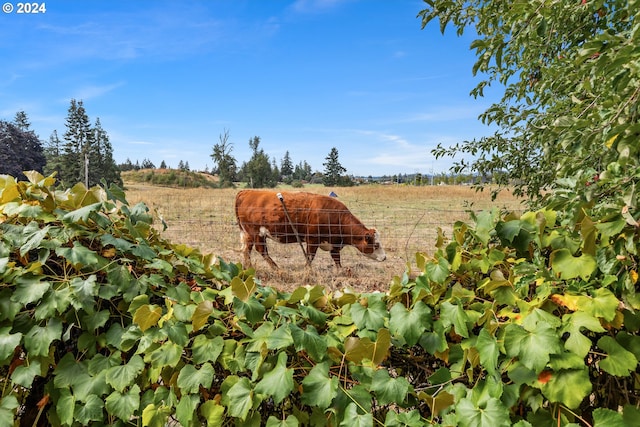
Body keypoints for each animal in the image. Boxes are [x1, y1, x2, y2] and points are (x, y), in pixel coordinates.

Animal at [234, 190, 384, 268]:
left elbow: (336, 259)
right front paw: (308, 270)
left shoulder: (334, 243)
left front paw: (341, 271)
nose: (384, 257)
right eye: (376, 245)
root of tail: (246, 191)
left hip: (248, 234)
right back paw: (277, 269)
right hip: (256, 233)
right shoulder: (312, 240)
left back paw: (249, 268)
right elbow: (310, 257)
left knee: (246, 251)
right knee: (262, 251)